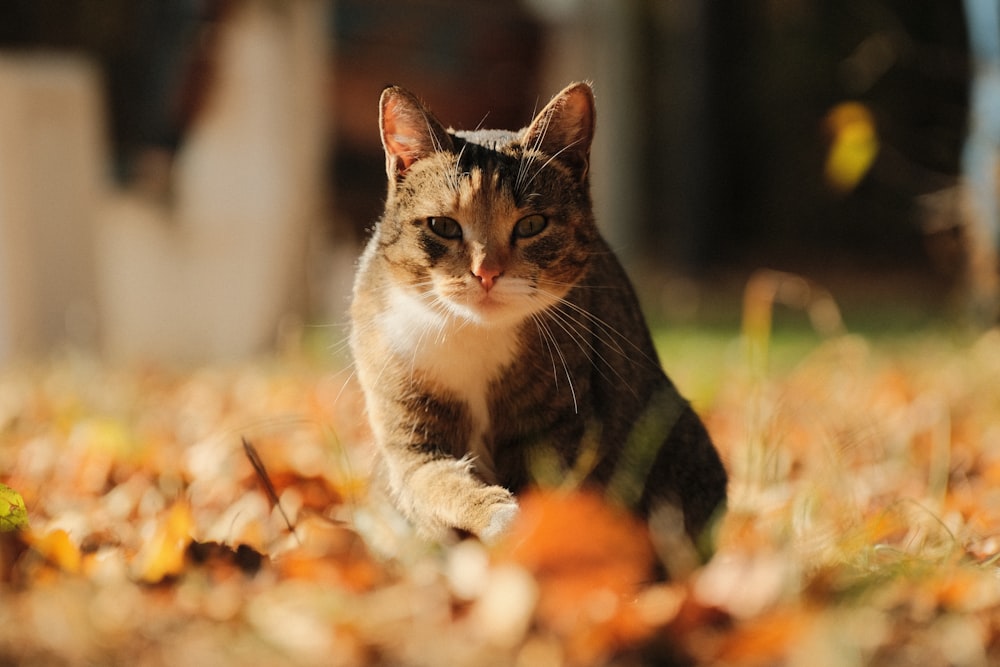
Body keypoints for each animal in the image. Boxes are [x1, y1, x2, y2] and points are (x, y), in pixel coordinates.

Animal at [348, 82, 724, 552]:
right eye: (444, 226)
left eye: (531, 225)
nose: (486, 272)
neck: (474, 334)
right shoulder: (413, 434)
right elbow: (440, 483)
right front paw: (493, 513)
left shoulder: (558, 429)